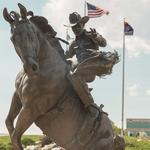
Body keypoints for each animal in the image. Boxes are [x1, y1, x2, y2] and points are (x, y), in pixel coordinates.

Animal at [3, 3, 118, 150]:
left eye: (30, 35)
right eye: (13, 39)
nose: (31, 67)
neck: (45, 67)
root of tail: (112, 136)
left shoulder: (31, 108)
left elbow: (15, 137)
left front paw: (94, 35)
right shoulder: (17, 97)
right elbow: (9, 123)